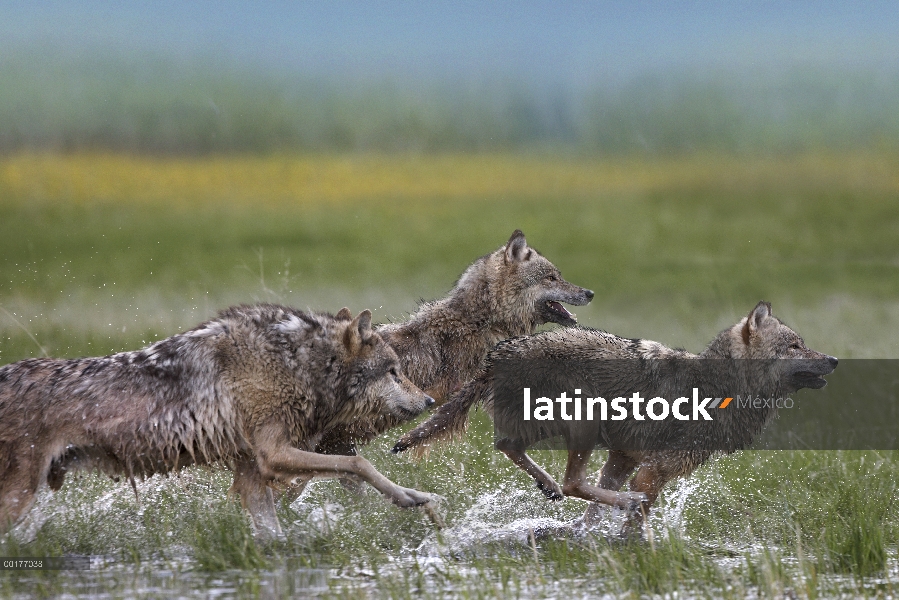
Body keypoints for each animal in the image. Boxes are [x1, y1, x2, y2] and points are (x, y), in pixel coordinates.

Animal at [0, 304, 436, 540]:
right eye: (394, 372)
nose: (431, 400)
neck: (296, 361)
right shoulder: (273, 454)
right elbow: (358, 462)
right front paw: (411, 497)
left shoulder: (252, 473)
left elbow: (274, 536)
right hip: (19, 496)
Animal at [398, 300, 840, 524]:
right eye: (796, 346)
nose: (835, 359)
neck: (719, 389)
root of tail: (496, 355)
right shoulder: (653, 470)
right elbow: (634, 514)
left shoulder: (624, 457)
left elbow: (595, 511)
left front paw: (587, 538)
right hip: (583, 423)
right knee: (570, 480)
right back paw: (586, 492)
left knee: (514, 449)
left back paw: (548, 486)